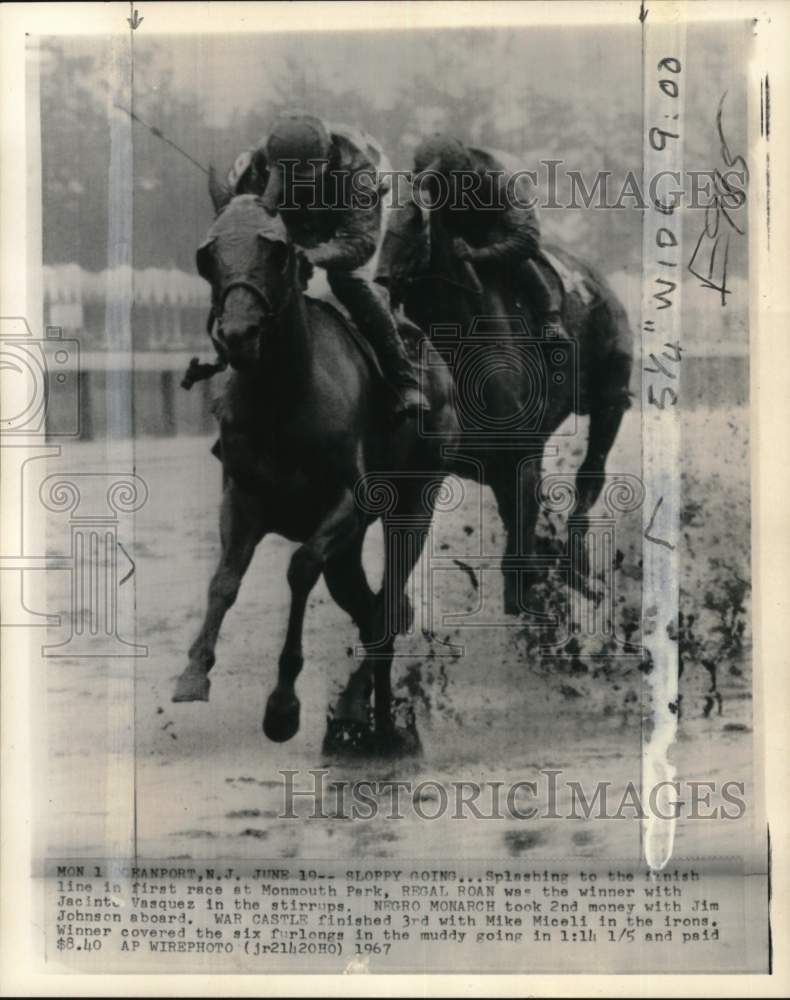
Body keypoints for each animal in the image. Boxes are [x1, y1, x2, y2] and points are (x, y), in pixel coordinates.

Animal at [172, 193, 458, 752]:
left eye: (277, 251)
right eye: (208, 256)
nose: (237, 335)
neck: (283, 398)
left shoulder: (351, 501)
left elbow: (301, 567)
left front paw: (283, 706)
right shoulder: (241, 497)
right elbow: (224, 581)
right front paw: (194, 673)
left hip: (413, 504)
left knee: (387, 608)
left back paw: (367, 717)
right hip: (346, 554)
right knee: (373, 610)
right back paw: (370, 717)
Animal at [378, 197, 636, 608]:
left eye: (417, 220)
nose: (382, 282)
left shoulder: (520, 454)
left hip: (609, 400)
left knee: (590, 474)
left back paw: (578, 565)